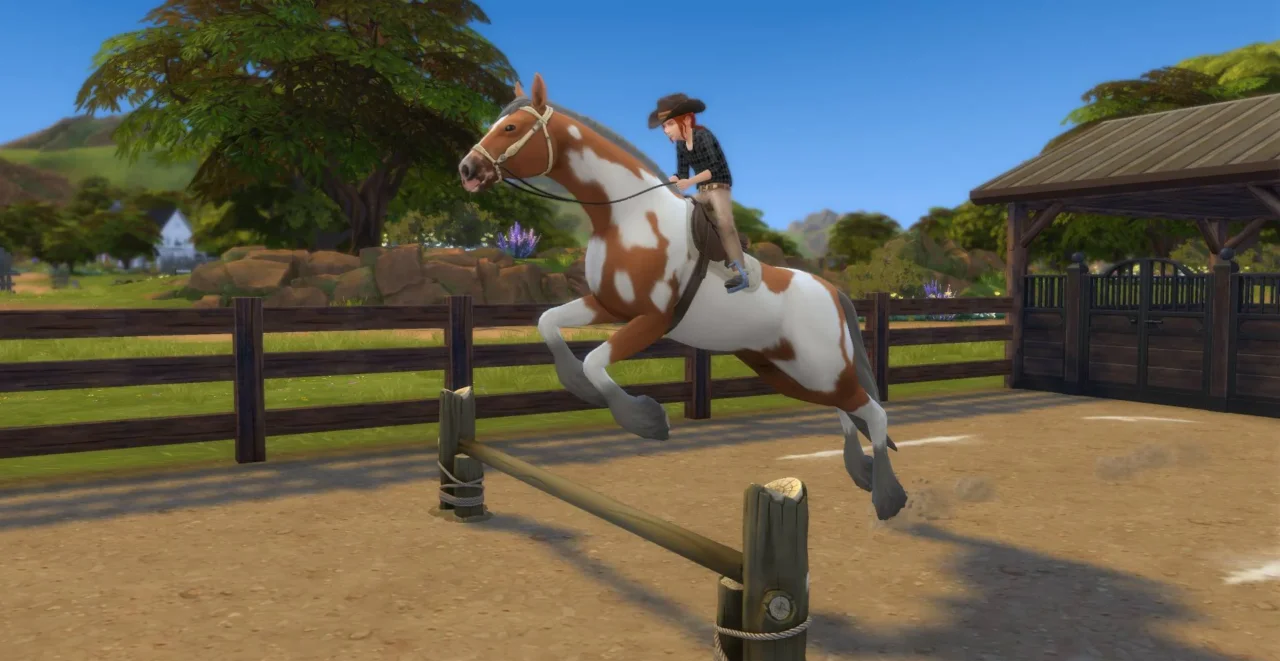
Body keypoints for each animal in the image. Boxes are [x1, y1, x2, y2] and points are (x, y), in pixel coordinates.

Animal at [457, 74, 908, 520]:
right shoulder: (607, 305)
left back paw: (887, 497)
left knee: (874, 413)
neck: (626, 218)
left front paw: (647, 420)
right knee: (848, 410)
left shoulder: (652, 320)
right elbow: (548, 324)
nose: (467, 169)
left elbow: (595, 361)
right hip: (789, 371)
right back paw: (862, 472)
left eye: (511, 127)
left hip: (820, 368)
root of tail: (832, 292)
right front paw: (582, 389)